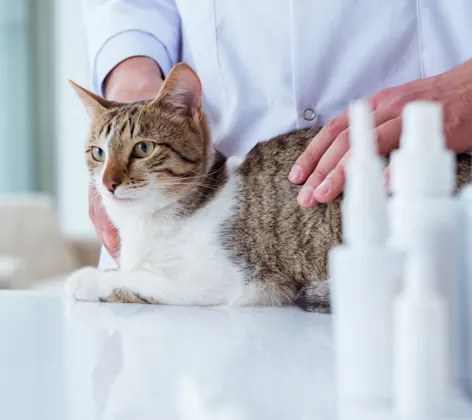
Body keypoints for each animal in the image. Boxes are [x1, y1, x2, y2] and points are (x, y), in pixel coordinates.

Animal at [67, 62, 472, 312]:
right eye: (98, 153)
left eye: (143, 148)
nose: (108, 183)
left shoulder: (219, 279)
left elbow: (136, 279)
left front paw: (89, 279)